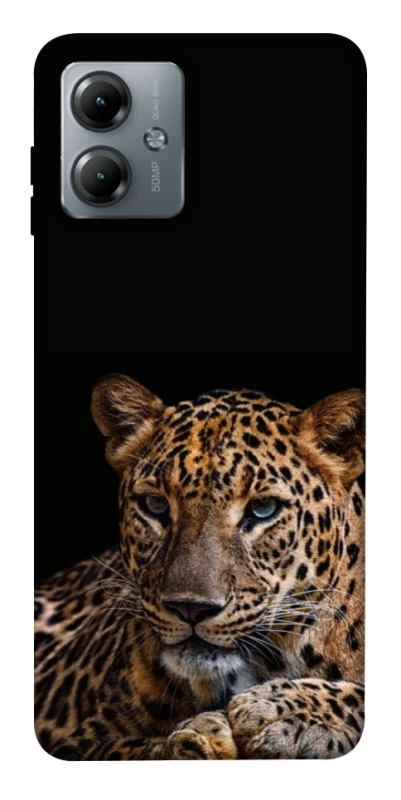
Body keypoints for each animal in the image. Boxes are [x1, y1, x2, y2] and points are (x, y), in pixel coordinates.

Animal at [35, 374, 365, 760]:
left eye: (263, 509)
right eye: (155, 505)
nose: (190, 608)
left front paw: (280, 710)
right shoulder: (82, 741)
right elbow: (139, 748)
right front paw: (202, 736)